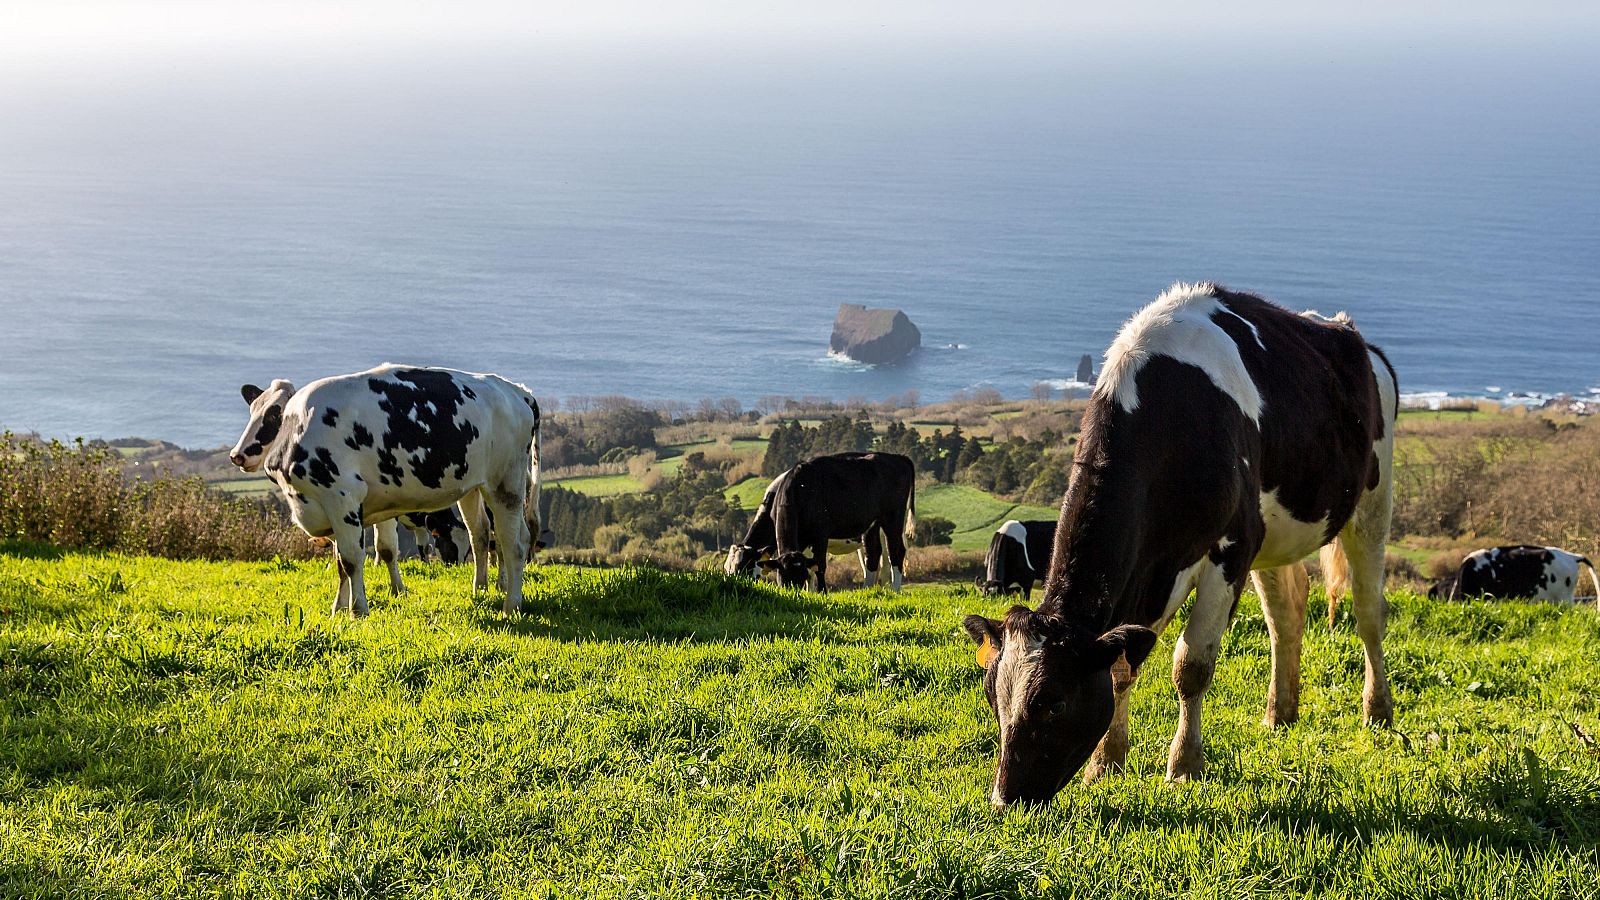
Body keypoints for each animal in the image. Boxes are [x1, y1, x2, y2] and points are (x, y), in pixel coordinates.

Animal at [230, 360, 544, 611]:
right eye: (253, 410)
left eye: (274, 414)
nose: (237, 455)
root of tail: (518, 391)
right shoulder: (333, 510)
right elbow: (342, 564)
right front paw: (337, 610)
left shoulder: (343, 498)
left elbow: (352, 560)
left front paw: (358, 610)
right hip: (474, 487)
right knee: (483, 534)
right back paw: (480, 590)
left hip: (505, 484)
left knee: (512, 543)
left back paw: (511, 604)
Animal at [726, 448, 915, 589]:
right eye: (729, 570)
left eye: (745, 568)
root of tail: (898, 457)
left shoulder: (819, 534)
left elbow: (817, 567)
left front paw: (819, 592)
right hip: (871, 525)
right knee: (873, 555)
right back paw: (870, 590)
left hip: (893, 519)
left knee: (896, 553)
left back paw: (894, 590)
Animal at [953, 283, 1395, 800]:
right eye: (992, 698)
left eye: (1055, 703)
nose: (1005, 798)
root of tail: (1355, 337)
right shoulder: (1155, 570)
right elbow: (1123, 666)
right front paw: (1105, 763)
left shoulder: (1231, 549)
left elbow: (1192, 665)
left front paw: (1184, 765)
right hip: (1275, 532)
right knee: (1286, 614)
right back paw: (1279, 713)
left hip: (1372, 504)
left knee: (1368, 612)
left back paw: (1378, 711)